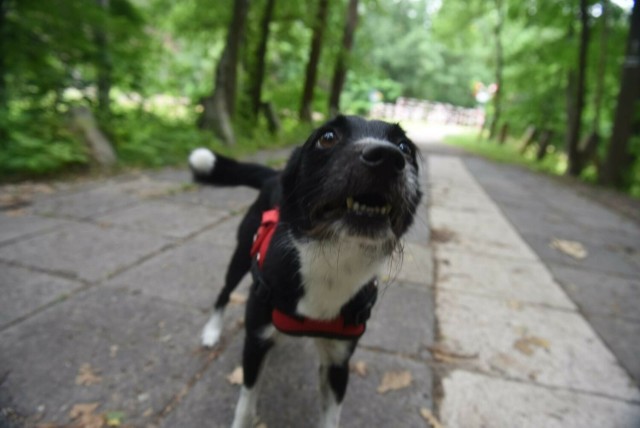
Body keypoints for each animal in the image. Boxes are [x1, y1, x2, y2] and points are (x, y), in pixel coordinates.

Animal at [188, 114, 422, 428]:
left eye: (405, 147)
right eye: (327, 137)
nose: (388, 157)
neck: (332, 262)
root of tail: (273, 176)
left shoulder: (338, 361)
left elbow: (331, 417)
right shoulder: (255, 342)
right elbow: (246, 404)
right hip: (241, 254)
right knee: (224, 292)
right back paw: (212, 331)